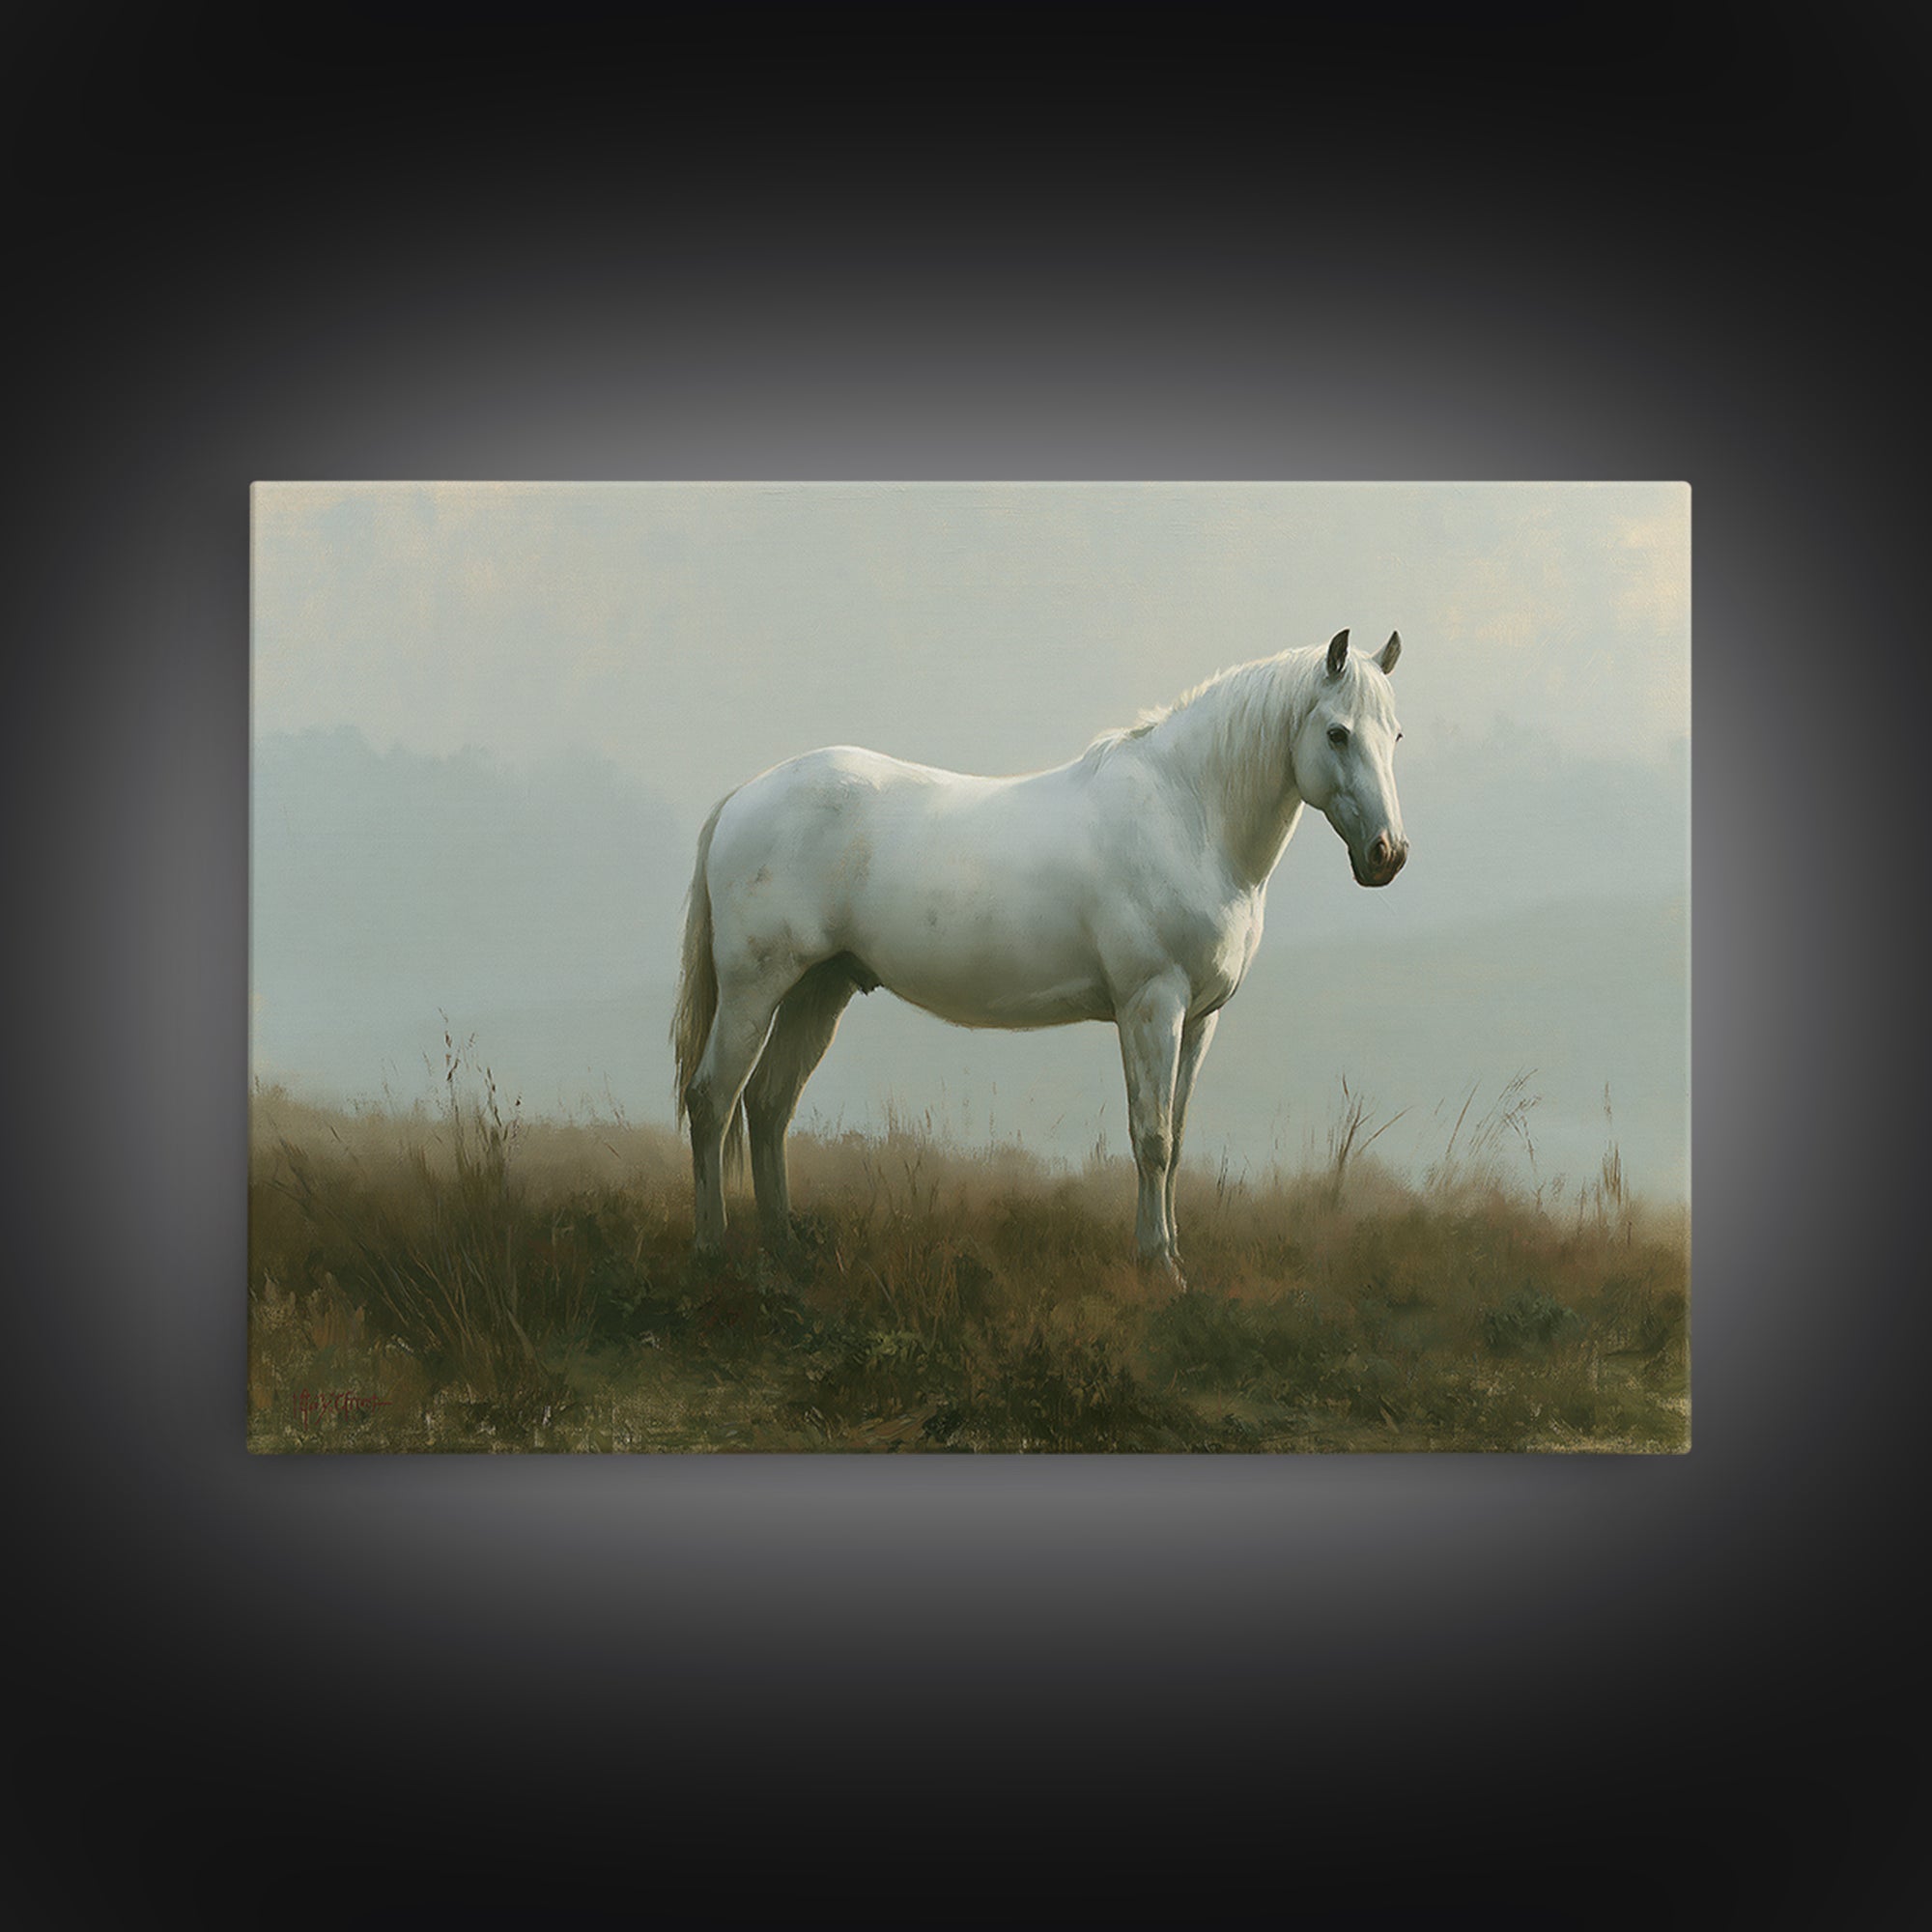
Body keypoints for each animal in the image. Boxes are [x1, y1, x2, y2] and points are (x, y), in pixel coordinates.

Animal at [671, 627, 1408, 1286]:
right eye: (1337, 733)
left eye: (1395, 736)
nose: (1388, 854)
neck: (1187, 815)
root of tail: (740, 799)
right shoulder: (1151, 1006)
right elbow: (1152, 1138)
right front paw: (1158, 1266)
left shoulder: (1199, 1018)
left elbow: (1177, 1136)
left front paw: (1173, 1255)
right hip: (754, 988)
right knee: (712, 1099)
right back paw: (711, 1248)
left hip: (818, 990)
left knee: (768, 1105)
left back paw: (785, 1245)